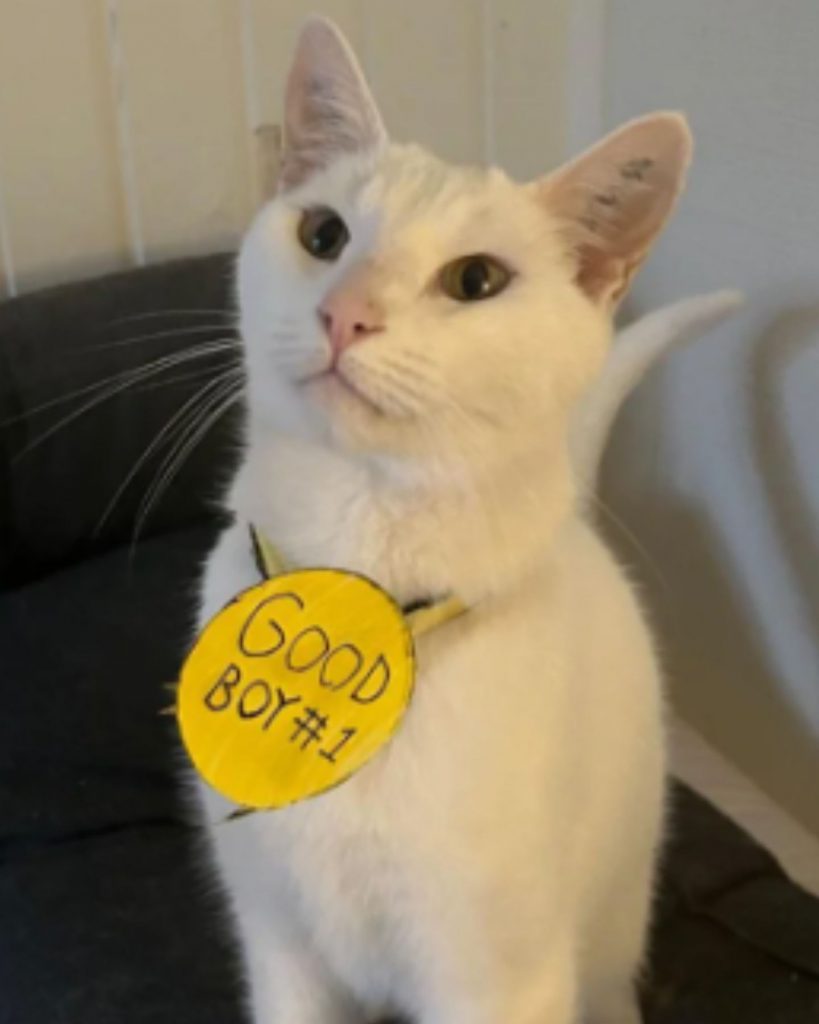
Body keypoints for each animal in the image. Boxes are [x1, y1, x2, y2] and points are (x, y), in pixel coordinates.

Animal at [193, 16, 741, 1024]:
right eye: (323, 234)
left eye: (476, 280)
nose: (344, 314)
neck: (359, 602)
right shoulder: (280, 947)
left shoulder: (492, 979)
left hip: (607, 931)